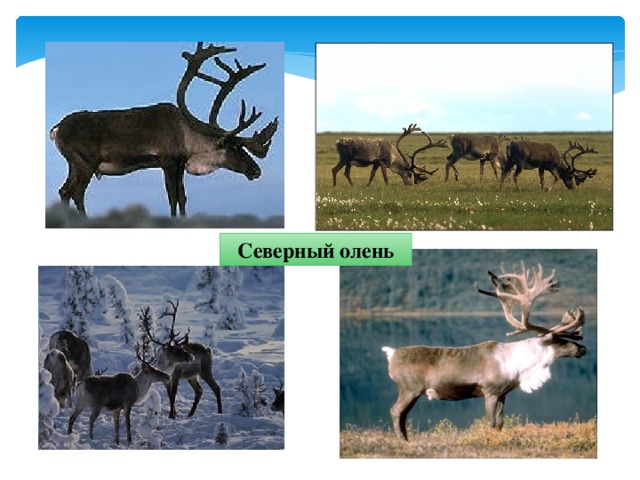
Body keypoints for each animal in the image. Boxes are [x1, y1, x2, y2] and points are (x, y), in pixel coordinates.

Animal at [50, 42, 279, 217]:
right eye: (235, 148)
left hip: (73, 164)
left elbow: (182, 197)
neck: (188, 137)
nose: (256, 171)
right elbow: (172, 197)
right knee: (76, 192)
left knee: (64, 191)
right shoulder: (167, 160)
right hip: (86, 162)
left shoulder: (179, 163)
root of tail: (57, 129)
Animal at [382, 262, 586, 441]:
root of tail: (391, 353)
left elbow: (500, 424)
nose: (583, 348)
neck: (519, 364)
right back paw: (403, 441)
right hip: (410, 388)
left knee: (402, 415)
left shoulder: (503, 394)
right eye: (558, 340)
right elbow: (490, 423)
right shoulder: (490, 391)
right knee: (396, 411)